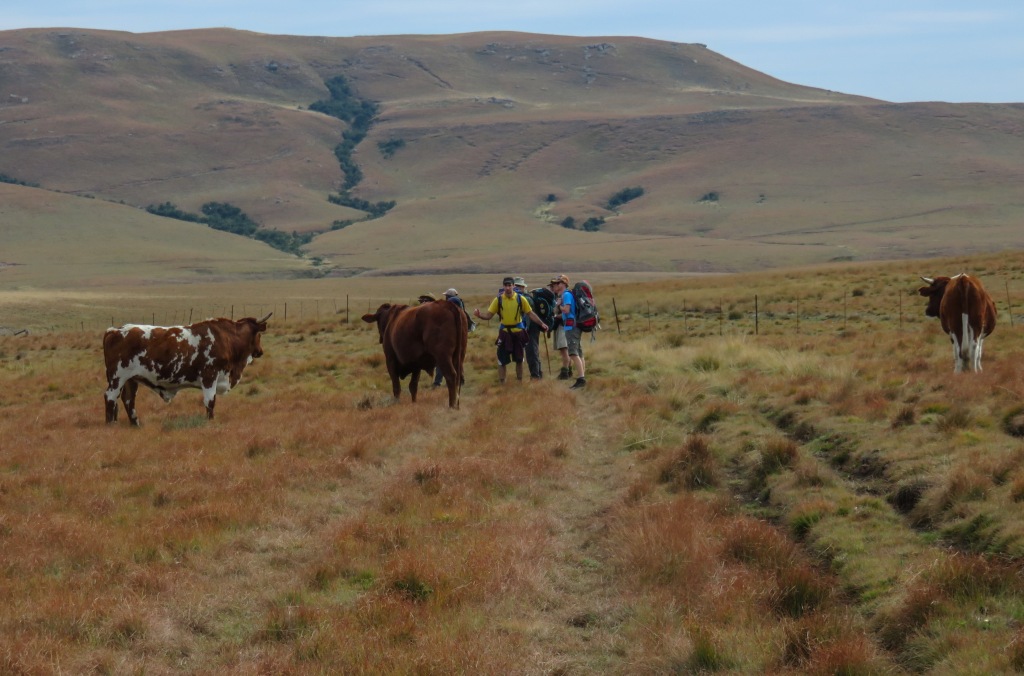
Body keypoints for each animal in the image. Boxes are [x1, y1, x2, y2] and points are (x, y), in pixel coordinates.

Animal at [102, 313, 272, 428]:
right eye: (259, 335)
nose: (260, 351)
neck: (226, 338)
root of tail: (114, 330)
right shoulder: (209, 376)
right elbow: (210, 401)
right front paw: (210, 422)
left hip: (131, 379)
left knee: (128, 400)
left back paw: (135, 424)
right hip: (117, 378)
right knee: (110, 397)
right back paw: (110, 424)